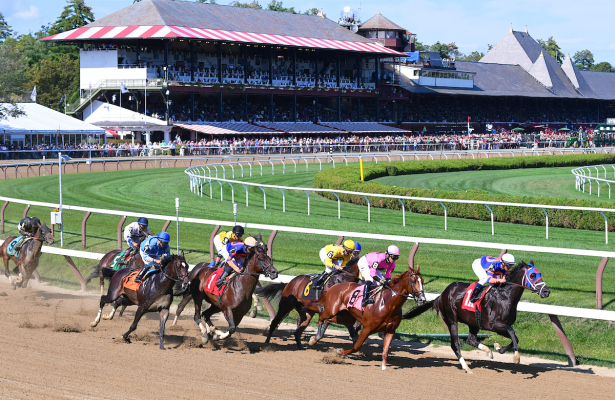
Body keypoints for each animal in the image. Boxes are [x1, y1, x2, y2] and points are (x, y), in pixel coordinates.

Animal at [402, 260, 552, 374]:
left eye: (539, 274)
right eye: (532, 275)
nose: (546, 291)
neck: (504, 297)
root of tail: (442, 295)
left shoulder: (501, 326)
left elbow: (515, 337)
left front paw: (498, 348)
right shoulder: (495, 325)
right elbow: (513, 333)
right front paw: (516, 357)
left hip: (473, 322)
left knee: (471, 340)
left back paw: (488, 352)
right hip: (452, 320)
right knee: (456, 344)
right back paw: (466, 367)